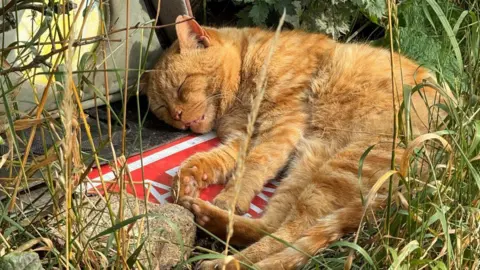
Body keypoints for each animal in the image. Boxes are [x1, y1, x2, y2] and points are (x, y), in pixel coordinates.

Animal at [144, 14, 444, 270]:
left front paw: (229, 197)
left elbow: (252, 167)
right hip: (308, 166)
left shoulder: (281, 127)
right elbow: (212, 160)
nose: (178, 116)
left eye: (181, 86)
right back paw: (209, 223)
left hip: (339, 169)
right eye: (163, 108)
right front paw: (189, 178)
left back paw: (224, 260)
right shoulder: (243, 138)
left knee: (289, 236)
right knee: (273, 227)